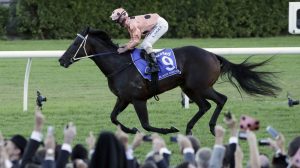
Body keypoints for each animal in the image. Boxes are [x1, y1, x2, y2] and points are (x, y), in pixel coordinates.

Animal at [58, 27, 282, 135]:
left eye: (75, 44)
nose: (61, 60)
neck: (119, 65)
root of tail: (212, 55)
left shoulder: (138, 100)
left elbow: (147, 125)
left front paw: (168, 130)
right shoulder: (123, 99)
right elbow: (113, 118)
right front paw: (131, 130)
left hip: (200, 86)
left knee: (220, 99)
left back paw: (209, 127)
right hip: (189, 88)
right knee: (205, 105)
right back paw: (190, 129)